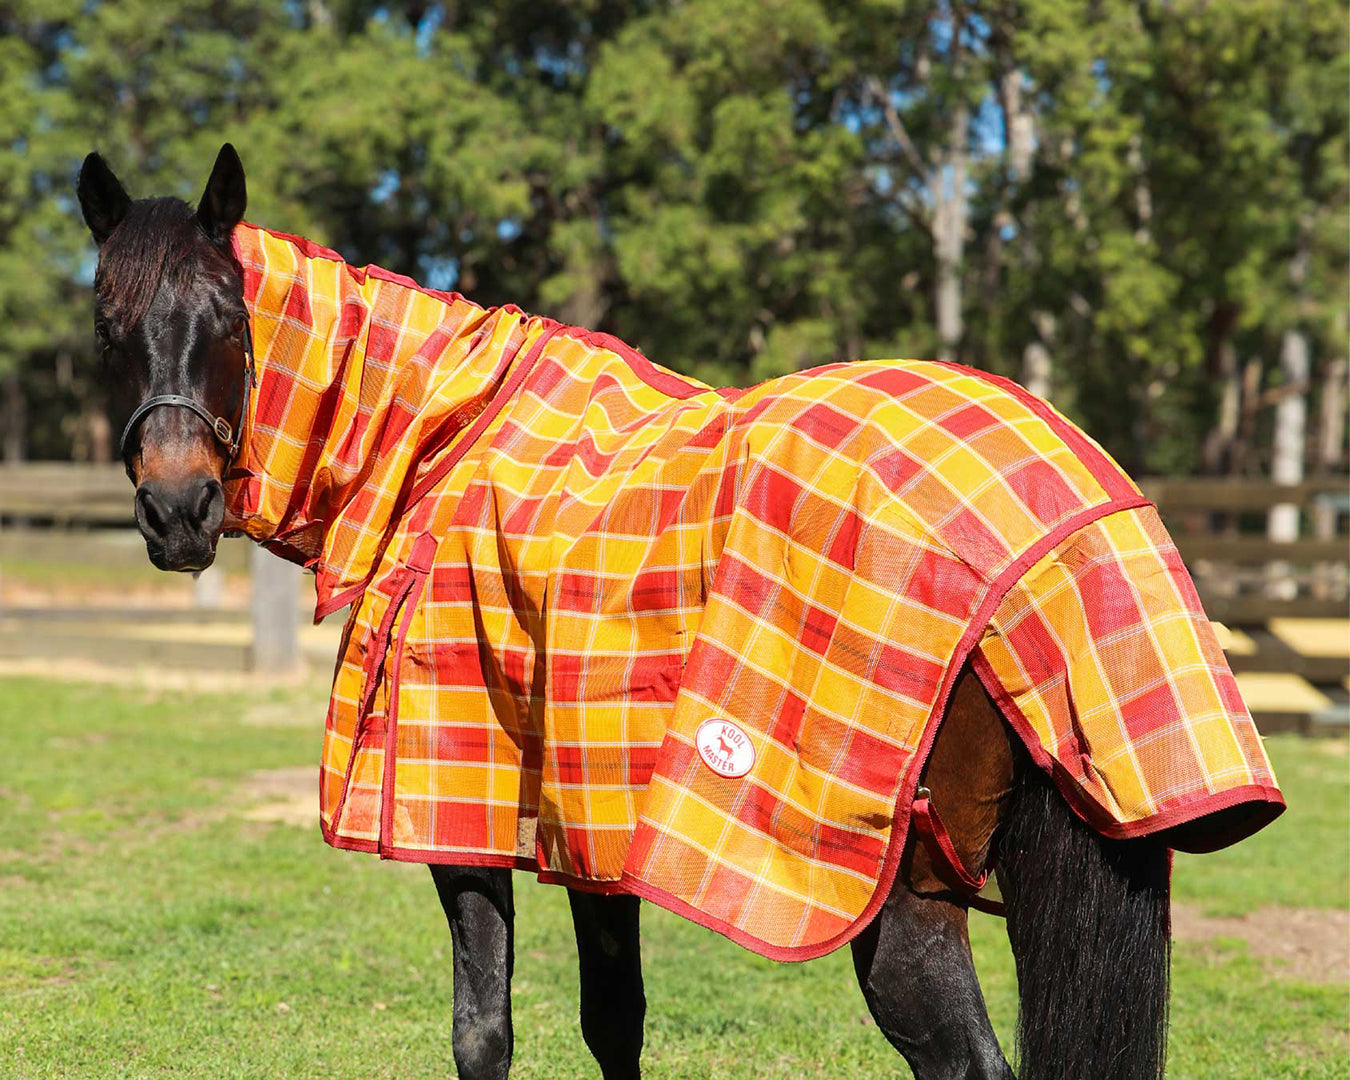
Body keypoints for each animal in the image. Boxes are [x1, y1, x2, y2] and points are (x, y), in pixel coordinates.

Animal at [73, 145, 1274, 1080]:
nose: (177, 510)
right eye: (107, 327)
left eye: (229, 322)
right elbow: (616, 1022)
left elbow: (483, 1032)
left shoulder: (458, 814)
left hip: (899, 903)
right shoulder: (590, 826)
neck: (449, 438)